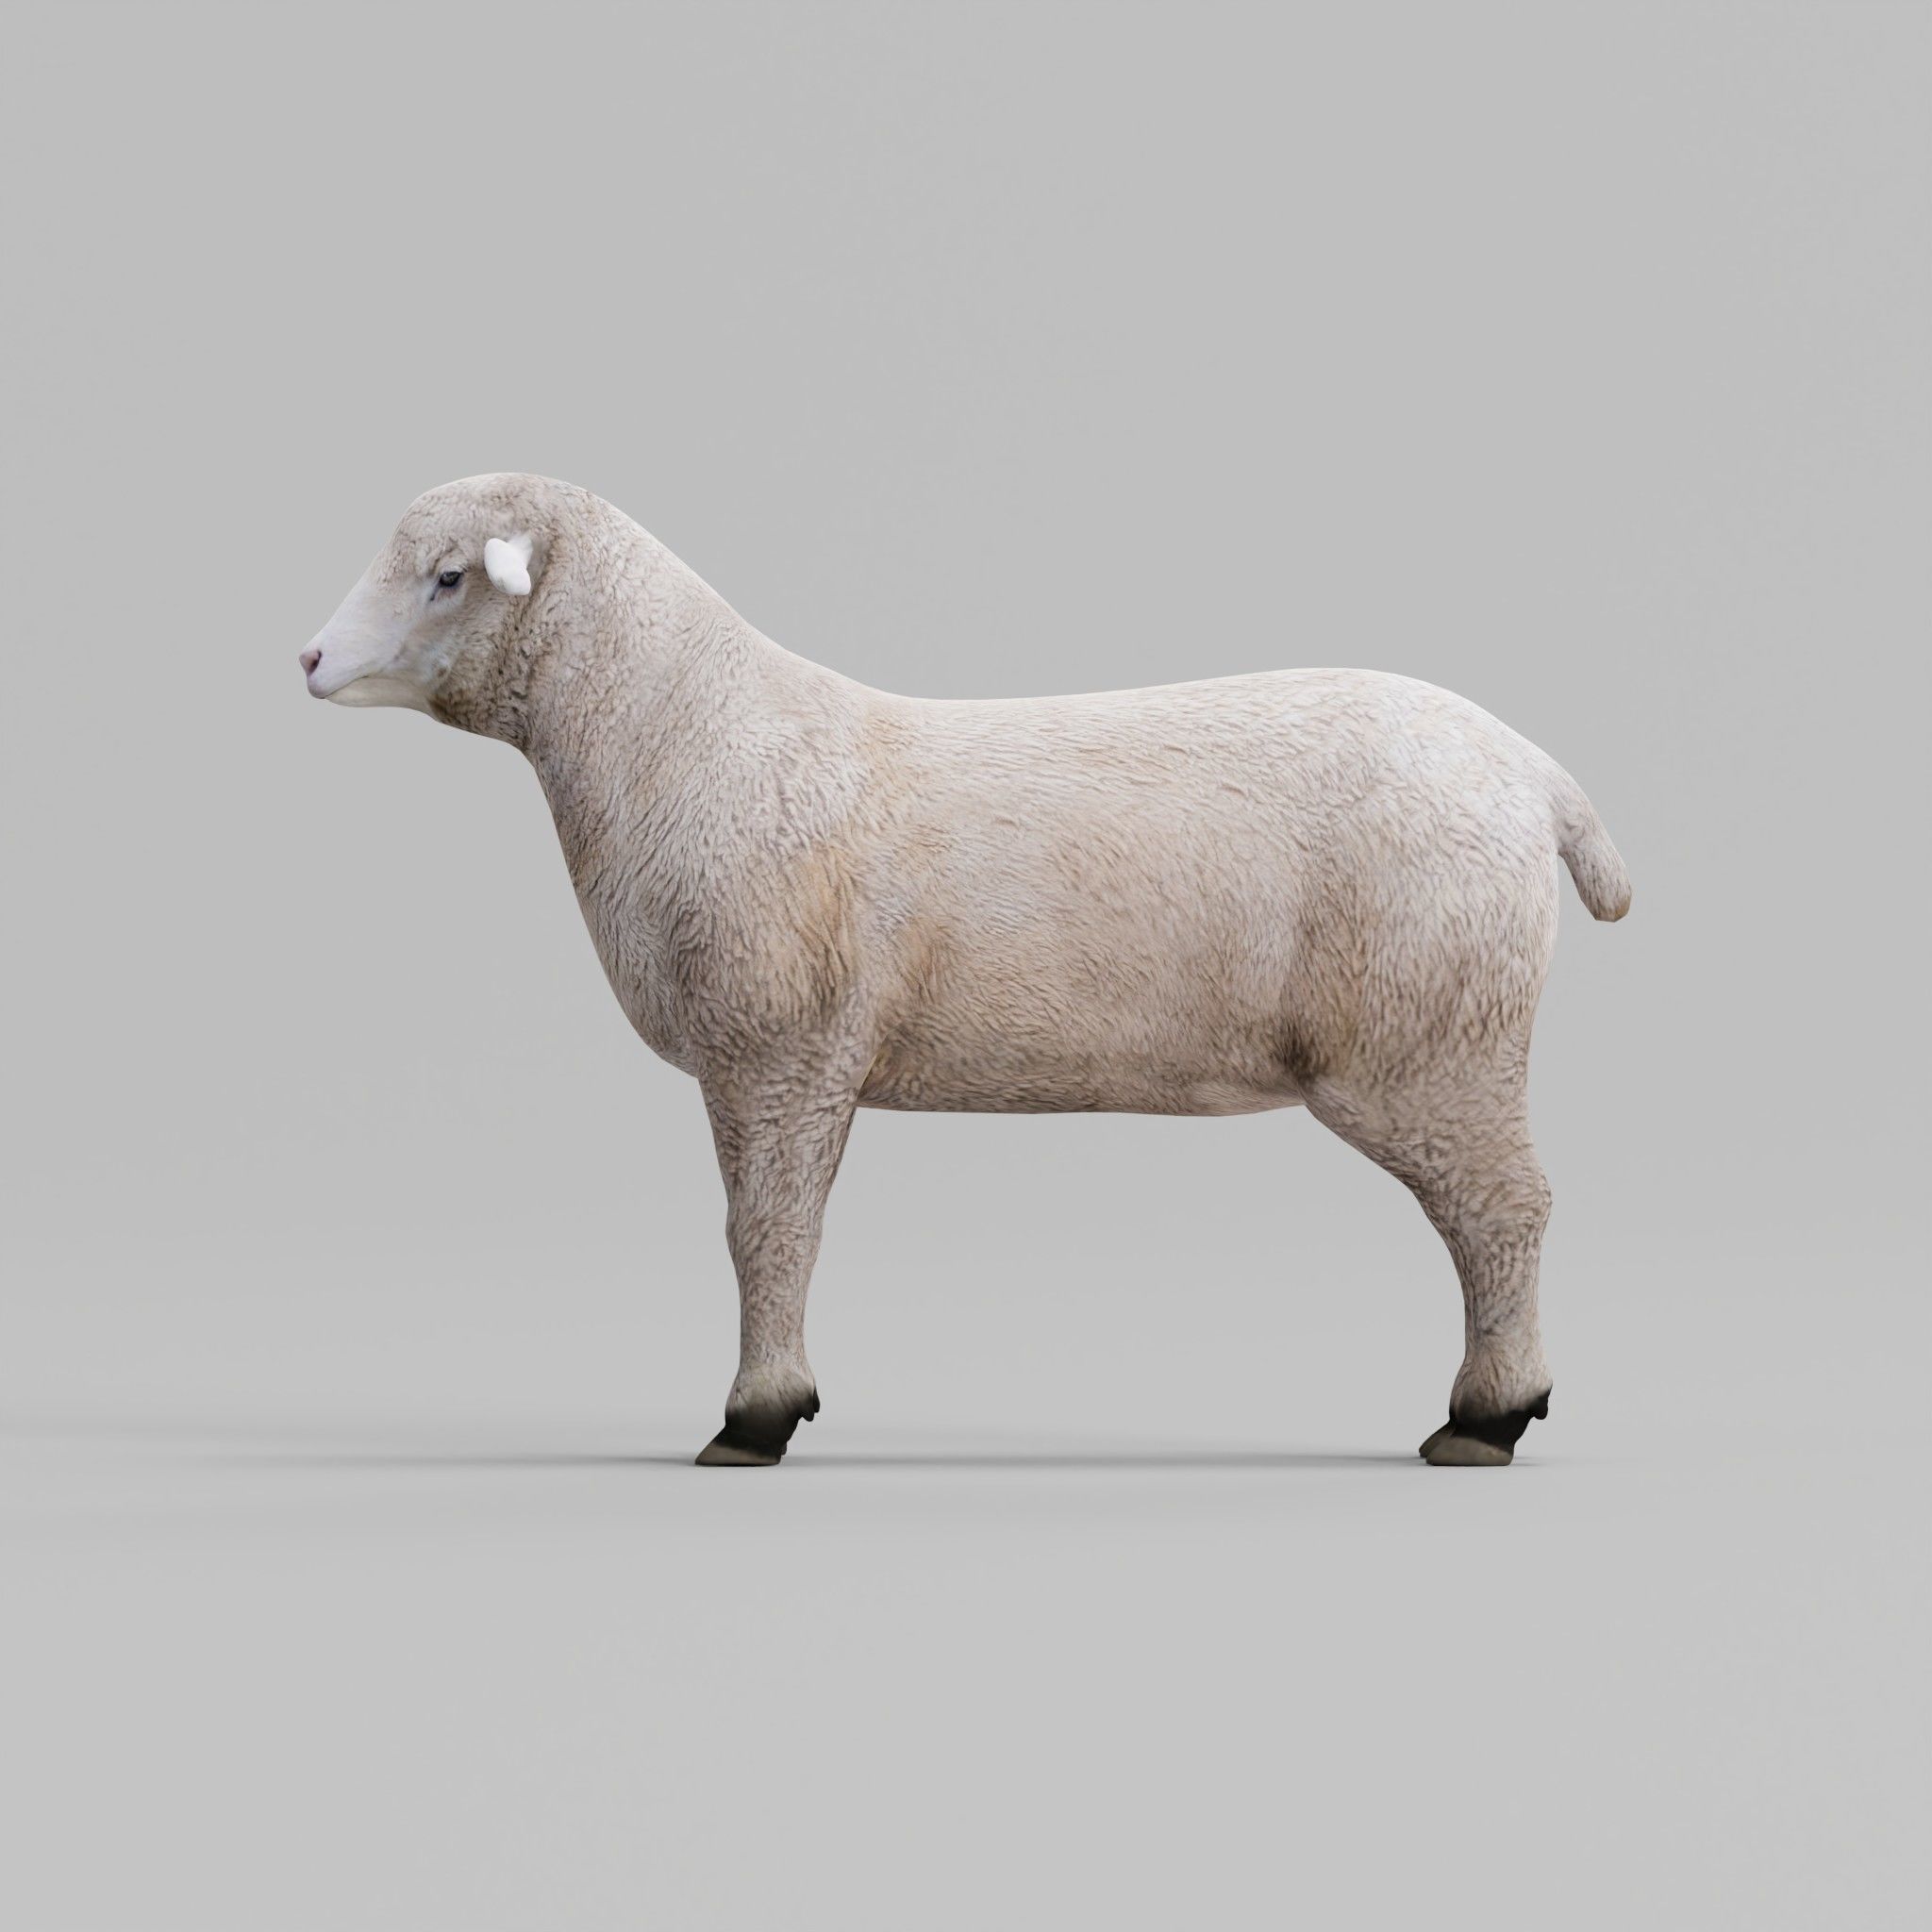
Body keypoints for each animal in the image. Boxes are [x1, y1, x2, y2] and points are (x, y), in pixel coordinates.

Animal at [301, 473, 1630, 1468]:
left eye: (447, 574)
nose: (308, 659)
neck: (689, 734)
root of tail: (1537, 778)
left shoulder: (774, 1049)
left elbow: (763, 1228)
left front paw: (755, 1417)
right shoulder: (808, 1065)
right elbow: (782, 1223)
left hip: (1428, 1035)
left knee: (1503, 1208)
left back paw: (1488, 1415)